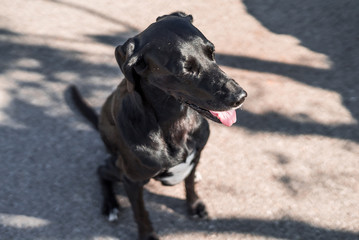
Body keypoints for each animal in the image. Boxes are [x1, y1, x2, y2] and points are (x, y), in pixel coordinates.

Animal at [70, 11, 246, 240]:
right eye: (186, 70)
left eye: (212, 52)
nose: (241, 96)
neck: (175, 121)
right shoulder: (132, 181)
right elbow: (141, 212)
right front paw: (147, 235)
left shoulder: (197, 154)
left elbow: (189, 184)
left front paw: (194, 205)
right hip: (116, 167)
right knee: (101, 170)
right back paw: (111, 205)